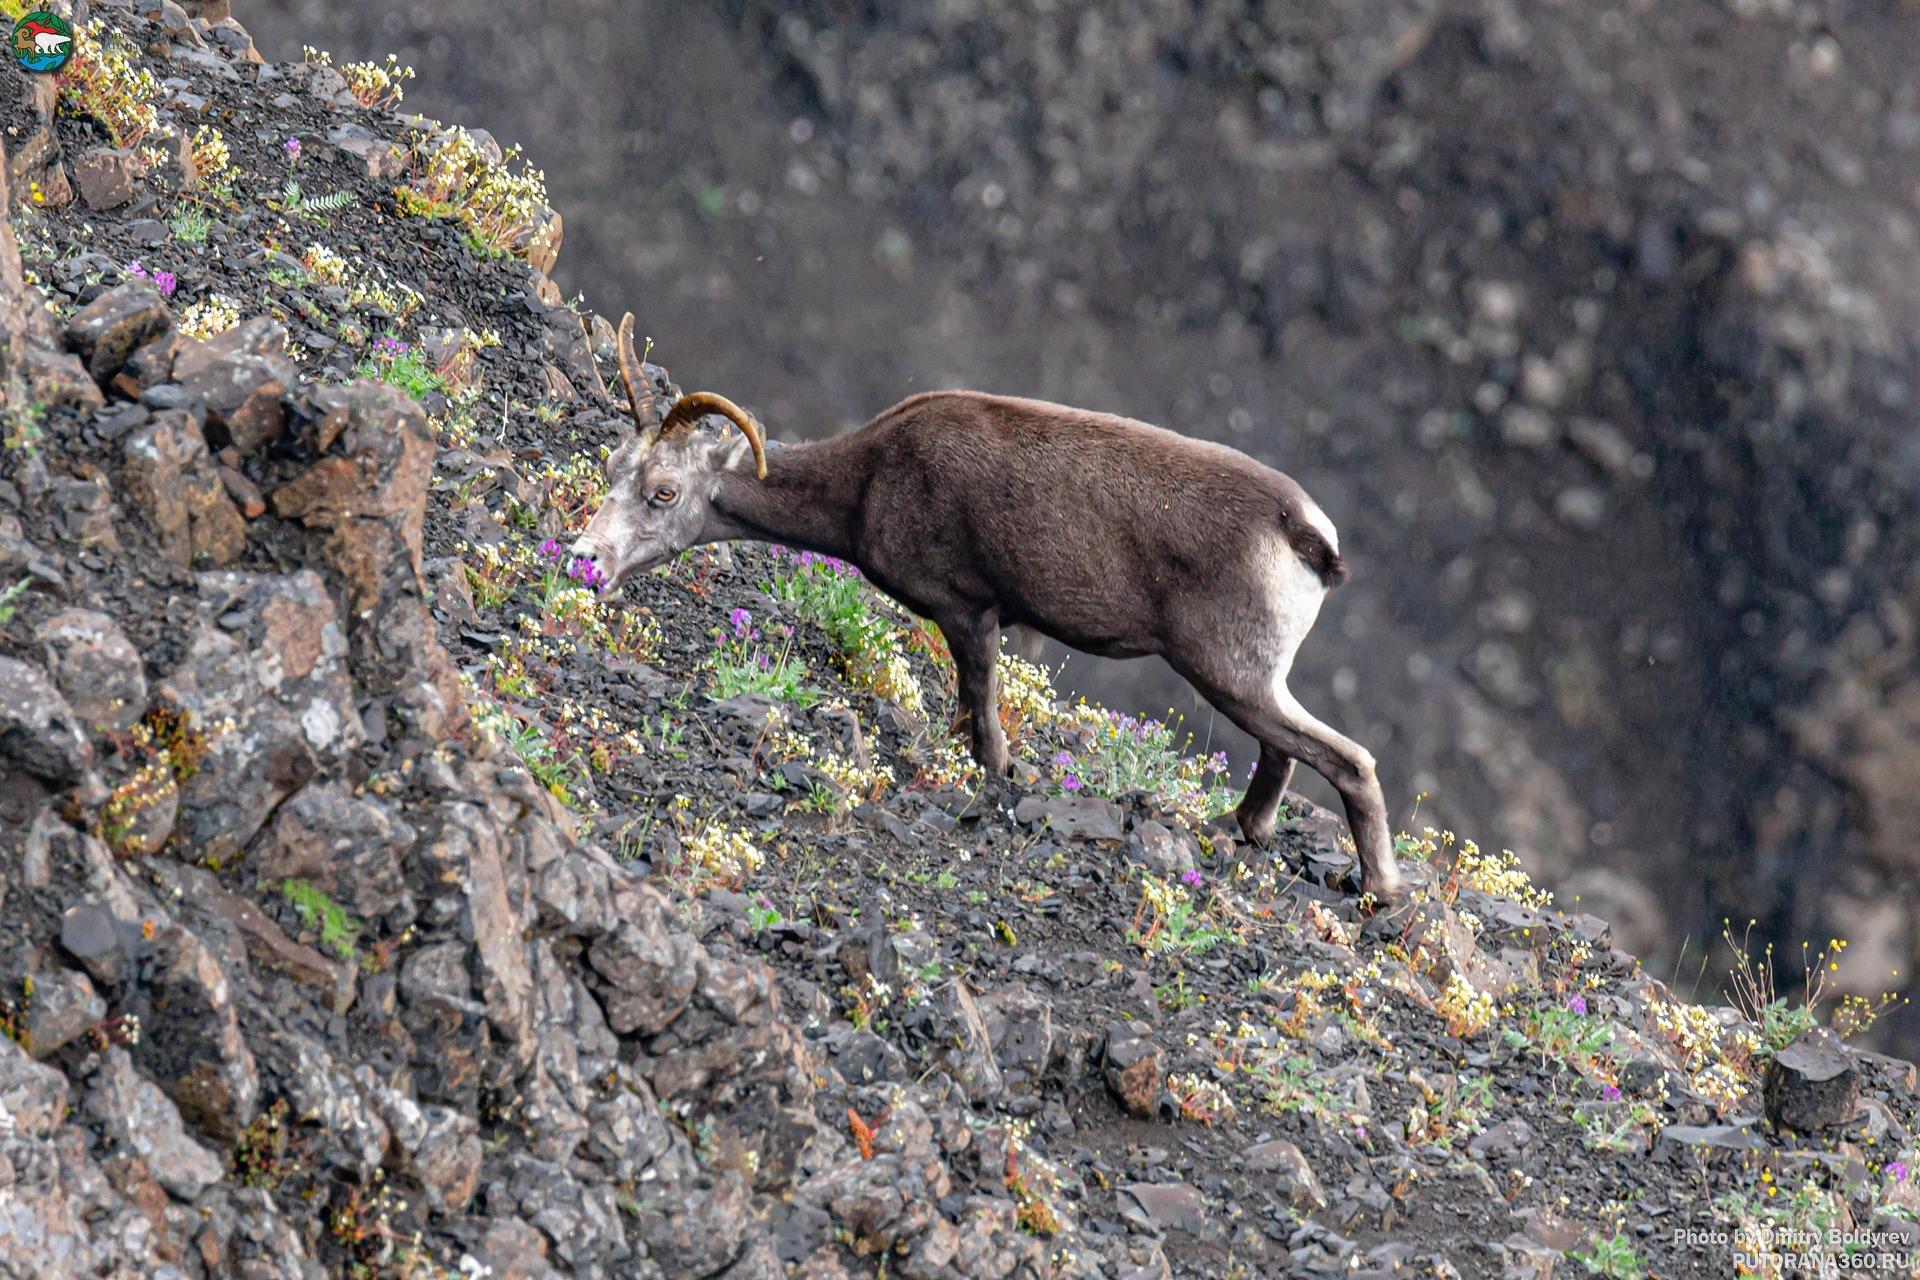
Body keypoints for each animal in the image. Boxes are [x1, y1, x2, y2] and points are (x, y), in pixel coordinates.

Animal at [571, 315, 1402, 901]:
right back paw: (1241, 830)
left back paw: (1378, 890)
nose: (586, 561)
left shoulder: (969, 612)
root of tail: (1308, 537)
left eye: (665, 492)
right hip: (1251, 682)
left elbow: (984, 717)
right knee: (1283, 754)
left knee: (1348, 761)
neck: (870, 480)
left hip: (1231, 674)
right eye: (612, 467)